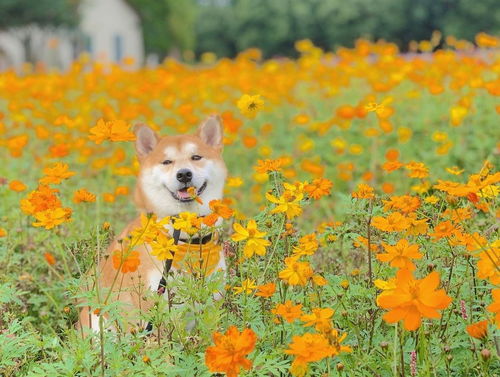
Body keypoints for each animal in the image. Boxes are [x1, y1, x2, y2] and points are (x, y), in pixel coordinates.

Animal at [79, 115, 228, 332]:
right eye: (167, 162)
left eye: (196, 157)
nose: (184, 174)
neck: (184, 241)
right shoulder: (155, 308)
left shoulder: (211, 306)